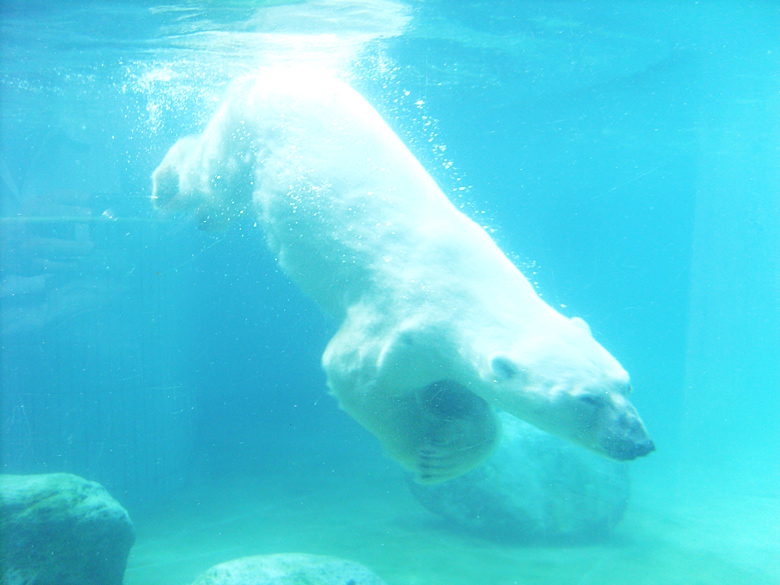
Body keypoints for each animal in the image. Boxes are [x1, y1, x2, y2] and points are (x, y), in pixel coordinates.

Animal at [151, 68, 652, 482]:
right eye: (585, 399)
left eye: (625, 384)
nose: (639, 443)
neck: (476, 285)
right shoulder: (407, 322)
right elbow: (358, 376)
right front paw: (420, 451)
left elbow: (458, 397)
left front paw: (448, 448)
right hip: (250, 127)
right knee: (212, 178)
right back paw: (168, 185)